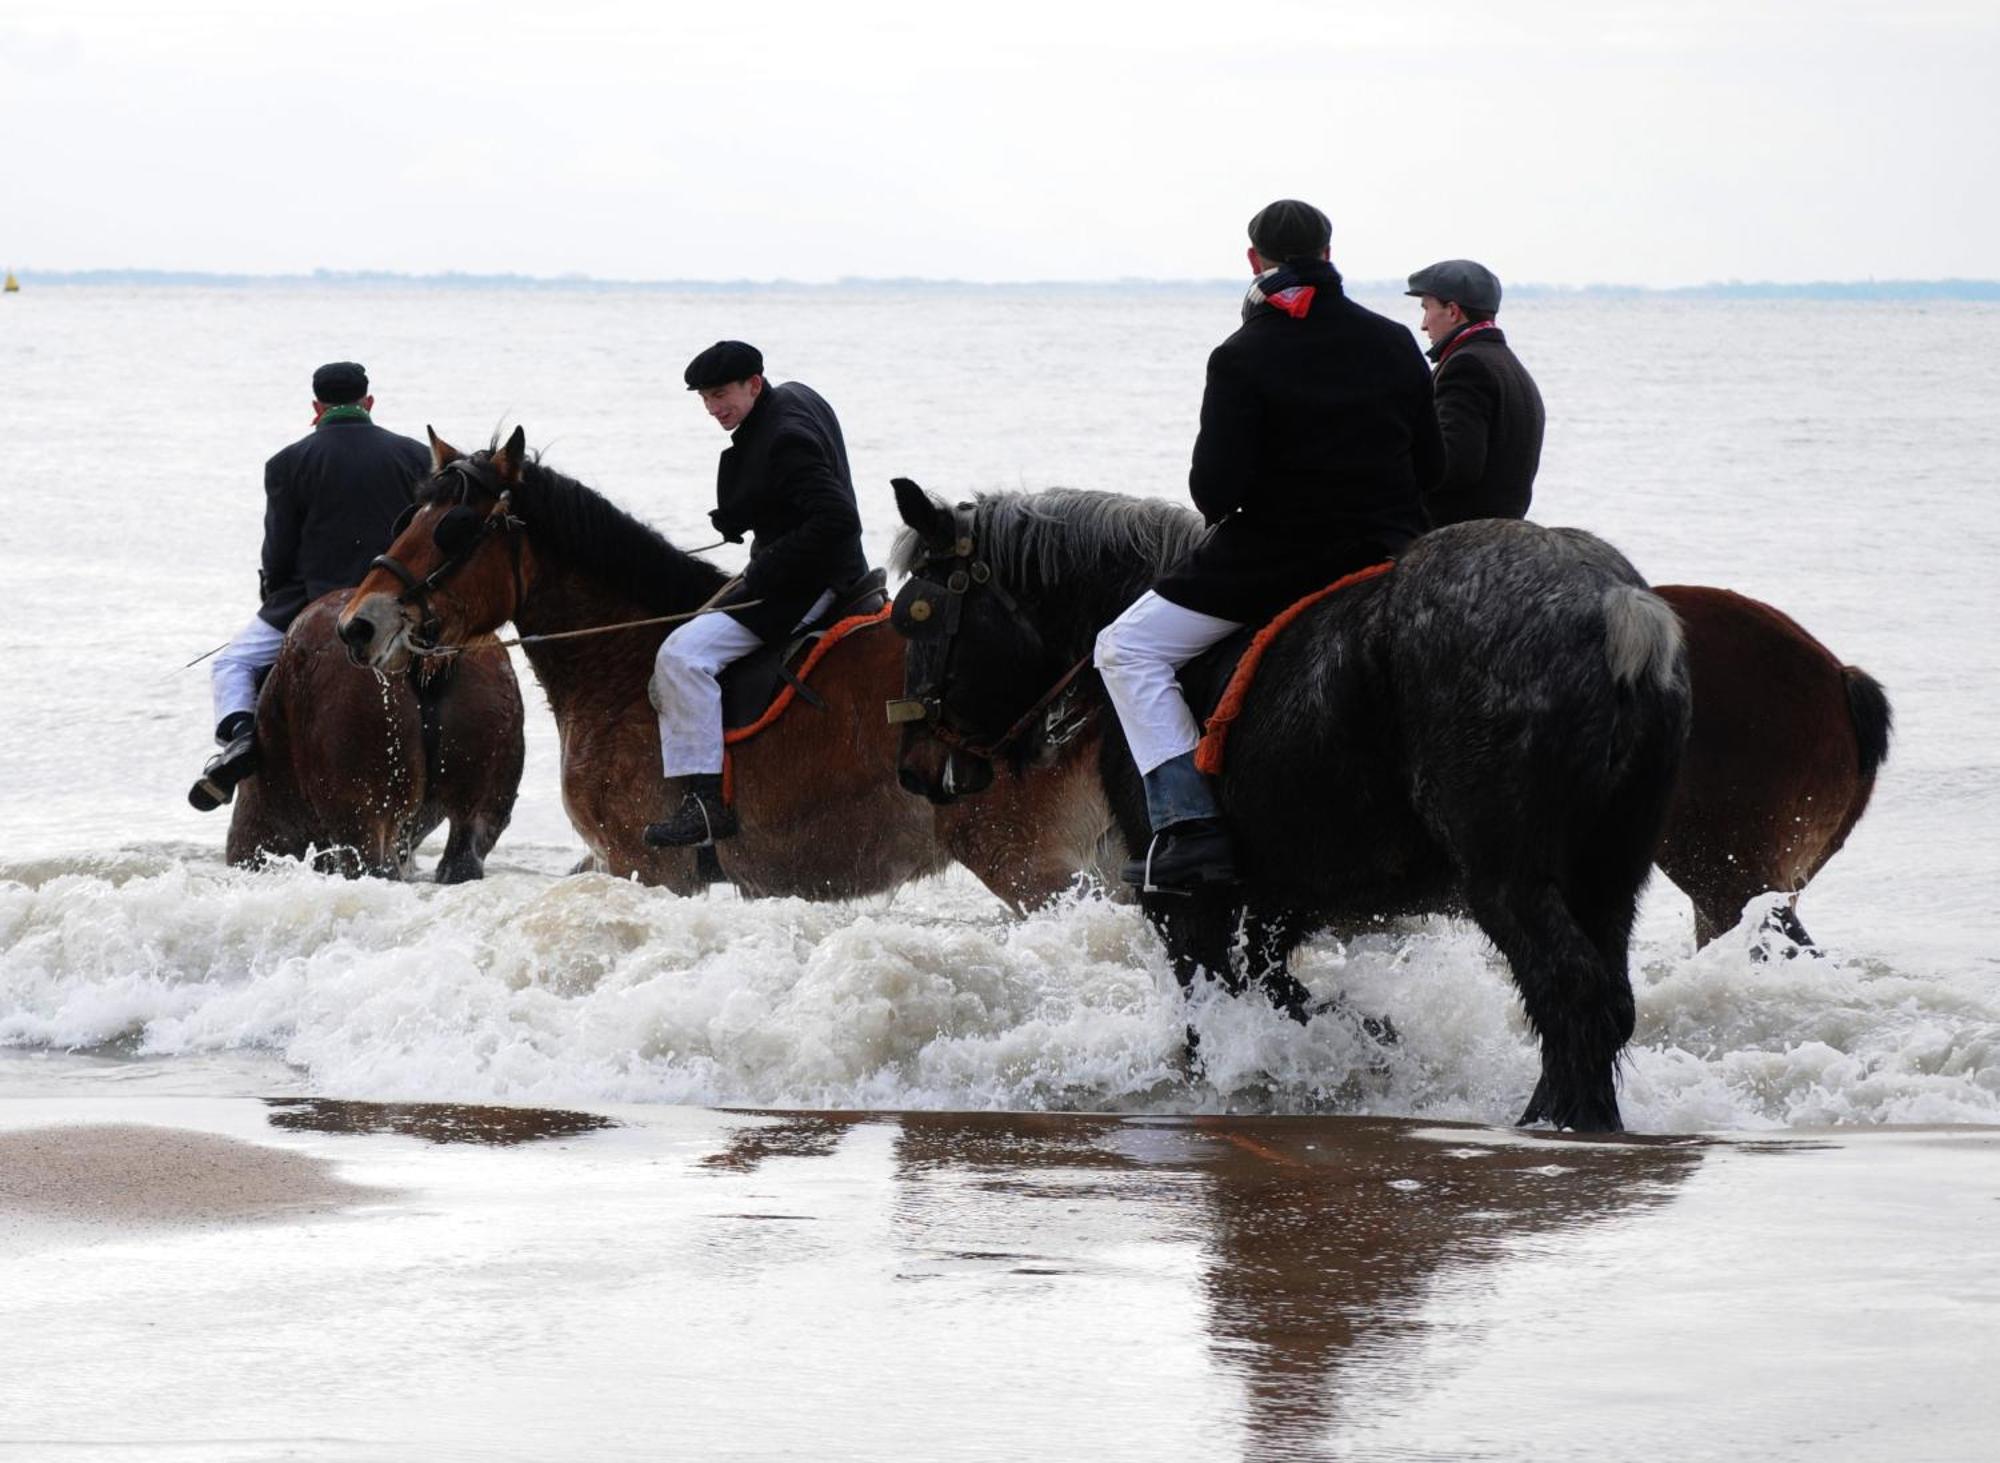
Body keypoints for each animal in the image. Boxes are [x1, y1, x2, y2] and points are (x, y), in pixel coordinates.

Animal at [334, 423, 1104, 903]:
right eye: (406, 517)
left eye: (453, 529)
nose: (356, 625)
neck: (619, 661)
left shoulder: (648, 866)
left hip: (1032, 864)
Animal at [892, 479, 1688, 1135]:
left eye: (917, 616)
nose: (914, 769)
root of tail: (1615, 610)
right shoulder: (1279, 900)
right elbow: (1278, 993)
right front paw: (1363, 1043)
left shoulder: (1185, 903)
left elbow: (1213, 1007)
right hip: (1609, 880)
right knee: (1607, 1002)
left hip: (1508, 879)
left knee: (1570, 990)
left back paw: (1553, 1121)